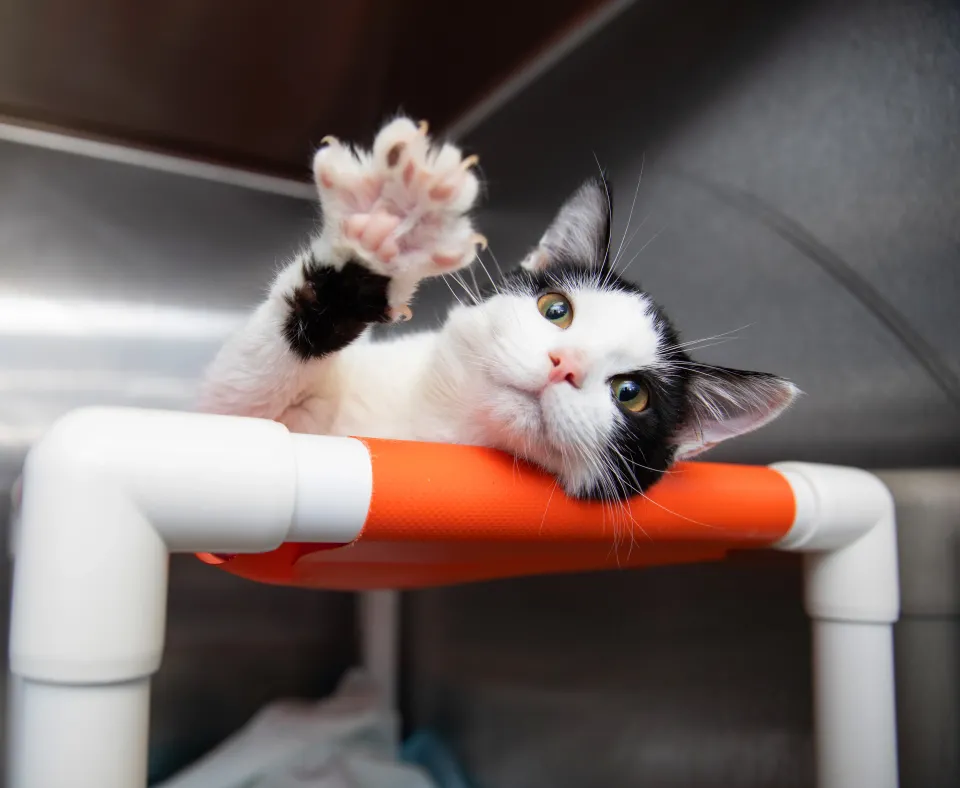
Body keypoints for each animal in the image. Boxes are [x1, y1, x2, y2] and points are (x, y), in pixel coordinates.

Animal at [199, 116, 800, 498]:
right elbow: (236, 402)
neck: (436, 430)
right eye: (556, 309)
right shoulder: (246, 419)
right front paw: (393, 223)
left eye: (631, 394)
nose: (565, 365)